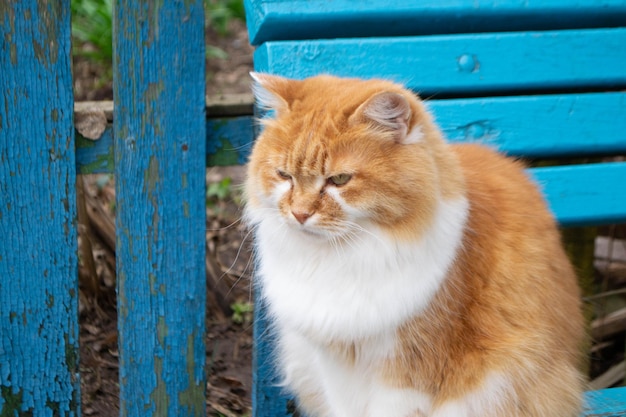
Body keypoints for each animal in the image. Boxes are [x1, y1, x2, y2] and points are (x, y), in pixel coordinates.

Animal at [241, 73, 584, 414]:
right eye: (284, 175)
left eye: (339, 180)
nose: (299, 214)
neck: (342, 258)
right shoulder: (334, 364)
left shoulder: (409, 369)